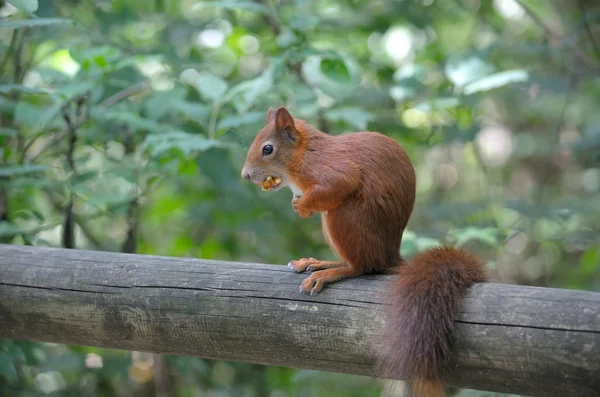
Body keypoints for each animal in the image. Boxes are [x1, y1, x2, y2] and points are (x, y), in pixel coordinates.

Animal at [239, 106, 488, 396]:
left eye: (267, 149)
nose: (245, 175)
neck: (302, 155)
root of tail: (390, 257)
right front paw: (295, 203)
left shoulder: (332, 169)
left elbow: (338, 183)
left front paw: (302, 206)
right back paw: (320, 263)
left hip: (345, 216)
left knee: (364, 266)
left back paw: (331, 273)